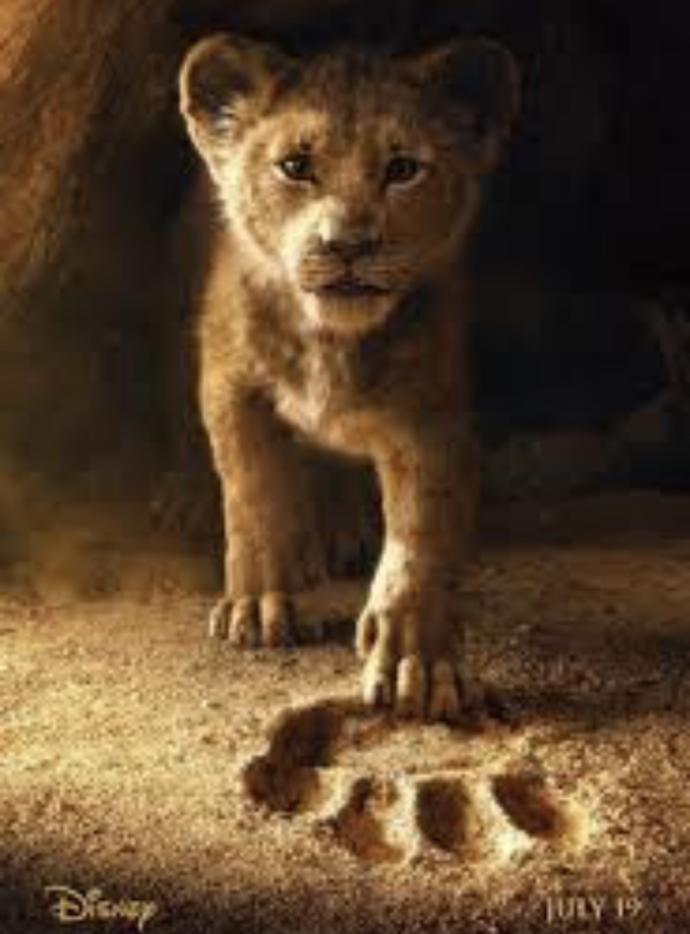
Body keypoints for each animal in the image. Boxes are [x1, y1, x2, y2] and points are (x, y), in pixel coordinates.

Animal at [178, 33, 519, 721]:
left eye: (403, 168)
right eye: (295, 166)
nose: (348, 244)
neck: (331, 341)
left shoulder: (432, 416)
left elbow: (422, 532)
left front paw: (419, 661)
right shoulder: (230, 382)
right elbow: (254, 490)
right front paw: (261, 605)